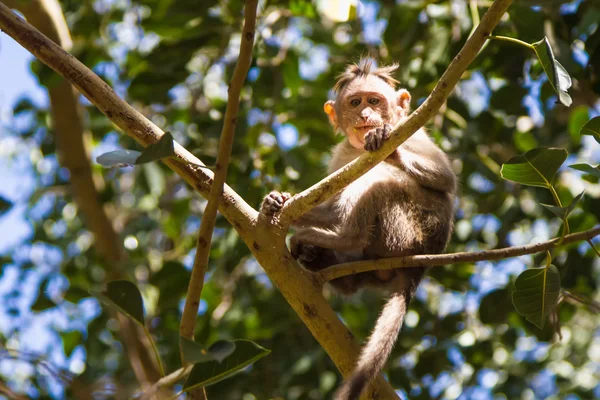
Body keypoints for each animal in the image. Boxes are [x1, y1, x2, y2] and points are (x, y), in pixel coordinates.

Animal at [262, 57, 454, 398]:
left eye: (374, 101)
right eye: (355, 102)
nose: (366, 115)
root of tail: (419, 267)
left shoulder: (413, 132)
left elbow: (445, 180)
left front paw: (385, 144)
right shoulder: (340, 154)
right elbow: (329, 205)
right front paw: (278, 201)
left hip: (409, 231)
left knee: (377, 179)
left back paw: (344, 237)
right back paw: (319, 257)